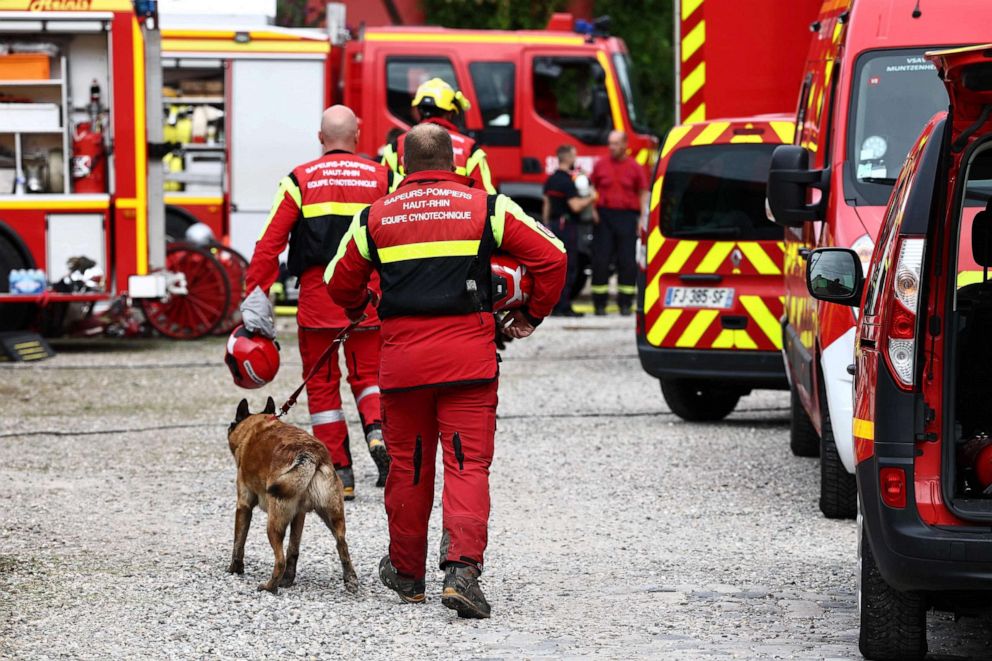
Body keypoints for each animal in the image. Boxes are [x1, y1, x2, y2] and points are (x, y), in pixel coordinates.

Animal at [227, 398, 358, 592]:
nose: (230, 425)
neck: (256, 425)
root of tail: (311, 455)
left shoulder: (243, 506)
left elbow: (238, 542)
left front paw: (235, 569)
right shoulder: (299, 514)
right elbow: (293, 547)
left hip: (274, 524)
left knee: (280, 559)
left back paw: (270, 586)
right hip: (332, 517)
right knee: (340, 544)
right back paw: (347, 579)